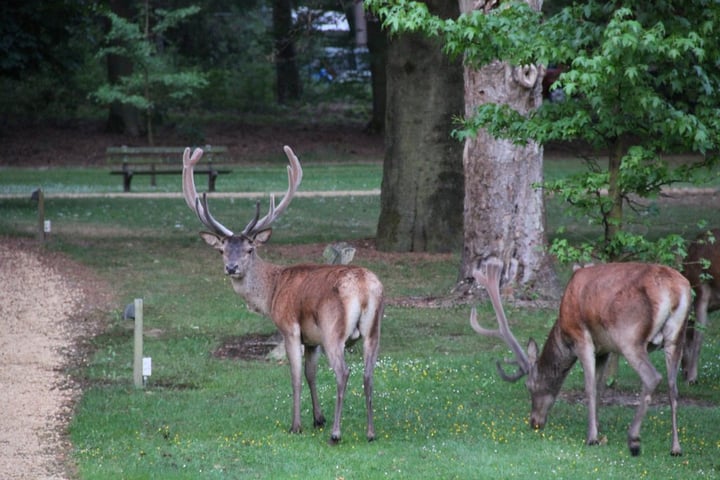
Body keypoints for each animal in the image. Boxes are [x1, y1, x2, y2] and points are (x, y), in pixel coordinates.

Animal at [183, 145, 386, 442]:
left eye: (250, 249)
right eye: (222, 250)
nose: (231, 268)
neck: (272, 293)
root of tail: (363, 287)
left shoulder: (290, 327)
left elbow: (296, 376)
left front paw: (297, 425)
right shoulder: (312, 340)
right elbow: (312, 374)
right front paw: (318, 418)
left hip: (333, 330)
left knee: (343, 372)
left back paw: (336, 433)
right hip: (373, 330)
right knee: (369, 374)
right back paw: (370, 432)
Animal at [472, 256, 692, 456]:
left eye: (529, 386)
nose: (534, 422)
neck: (563, 332)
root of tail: (675, 290)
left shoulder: (581, 337)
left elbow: (590, 387)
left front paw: (592, 437)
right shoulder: (604, 349)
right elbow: (601, 387)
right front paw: (598, 427)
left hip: (629, 337)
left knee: (652, 377)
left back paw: (634, 440)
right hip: (676, 338)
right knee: (673, 388)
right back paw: (676, 448)